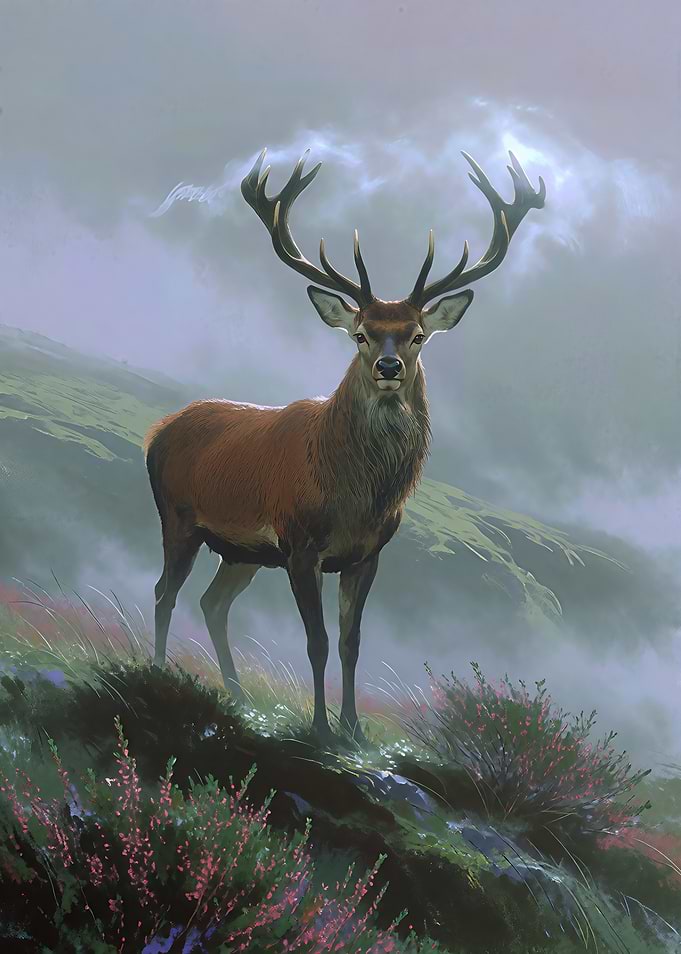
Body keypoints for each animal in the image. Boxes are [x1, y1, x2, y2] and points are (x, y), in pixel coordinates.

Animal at [144, 145, 545, 742]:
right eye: (360, 333)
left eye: (417, 335)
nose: (388, 367)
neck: (355, 495)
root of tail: (157, 431)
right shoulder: (299, 543)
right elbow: (317, 641)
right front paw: (320, 728)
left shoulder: (367, 554)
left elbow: (353, 643)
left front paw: (353, 728)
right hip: (179, 516)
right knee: (164, 593)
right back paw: (153, 669)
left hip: (242, 551)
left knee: (212, 604)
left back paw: (236, 696)